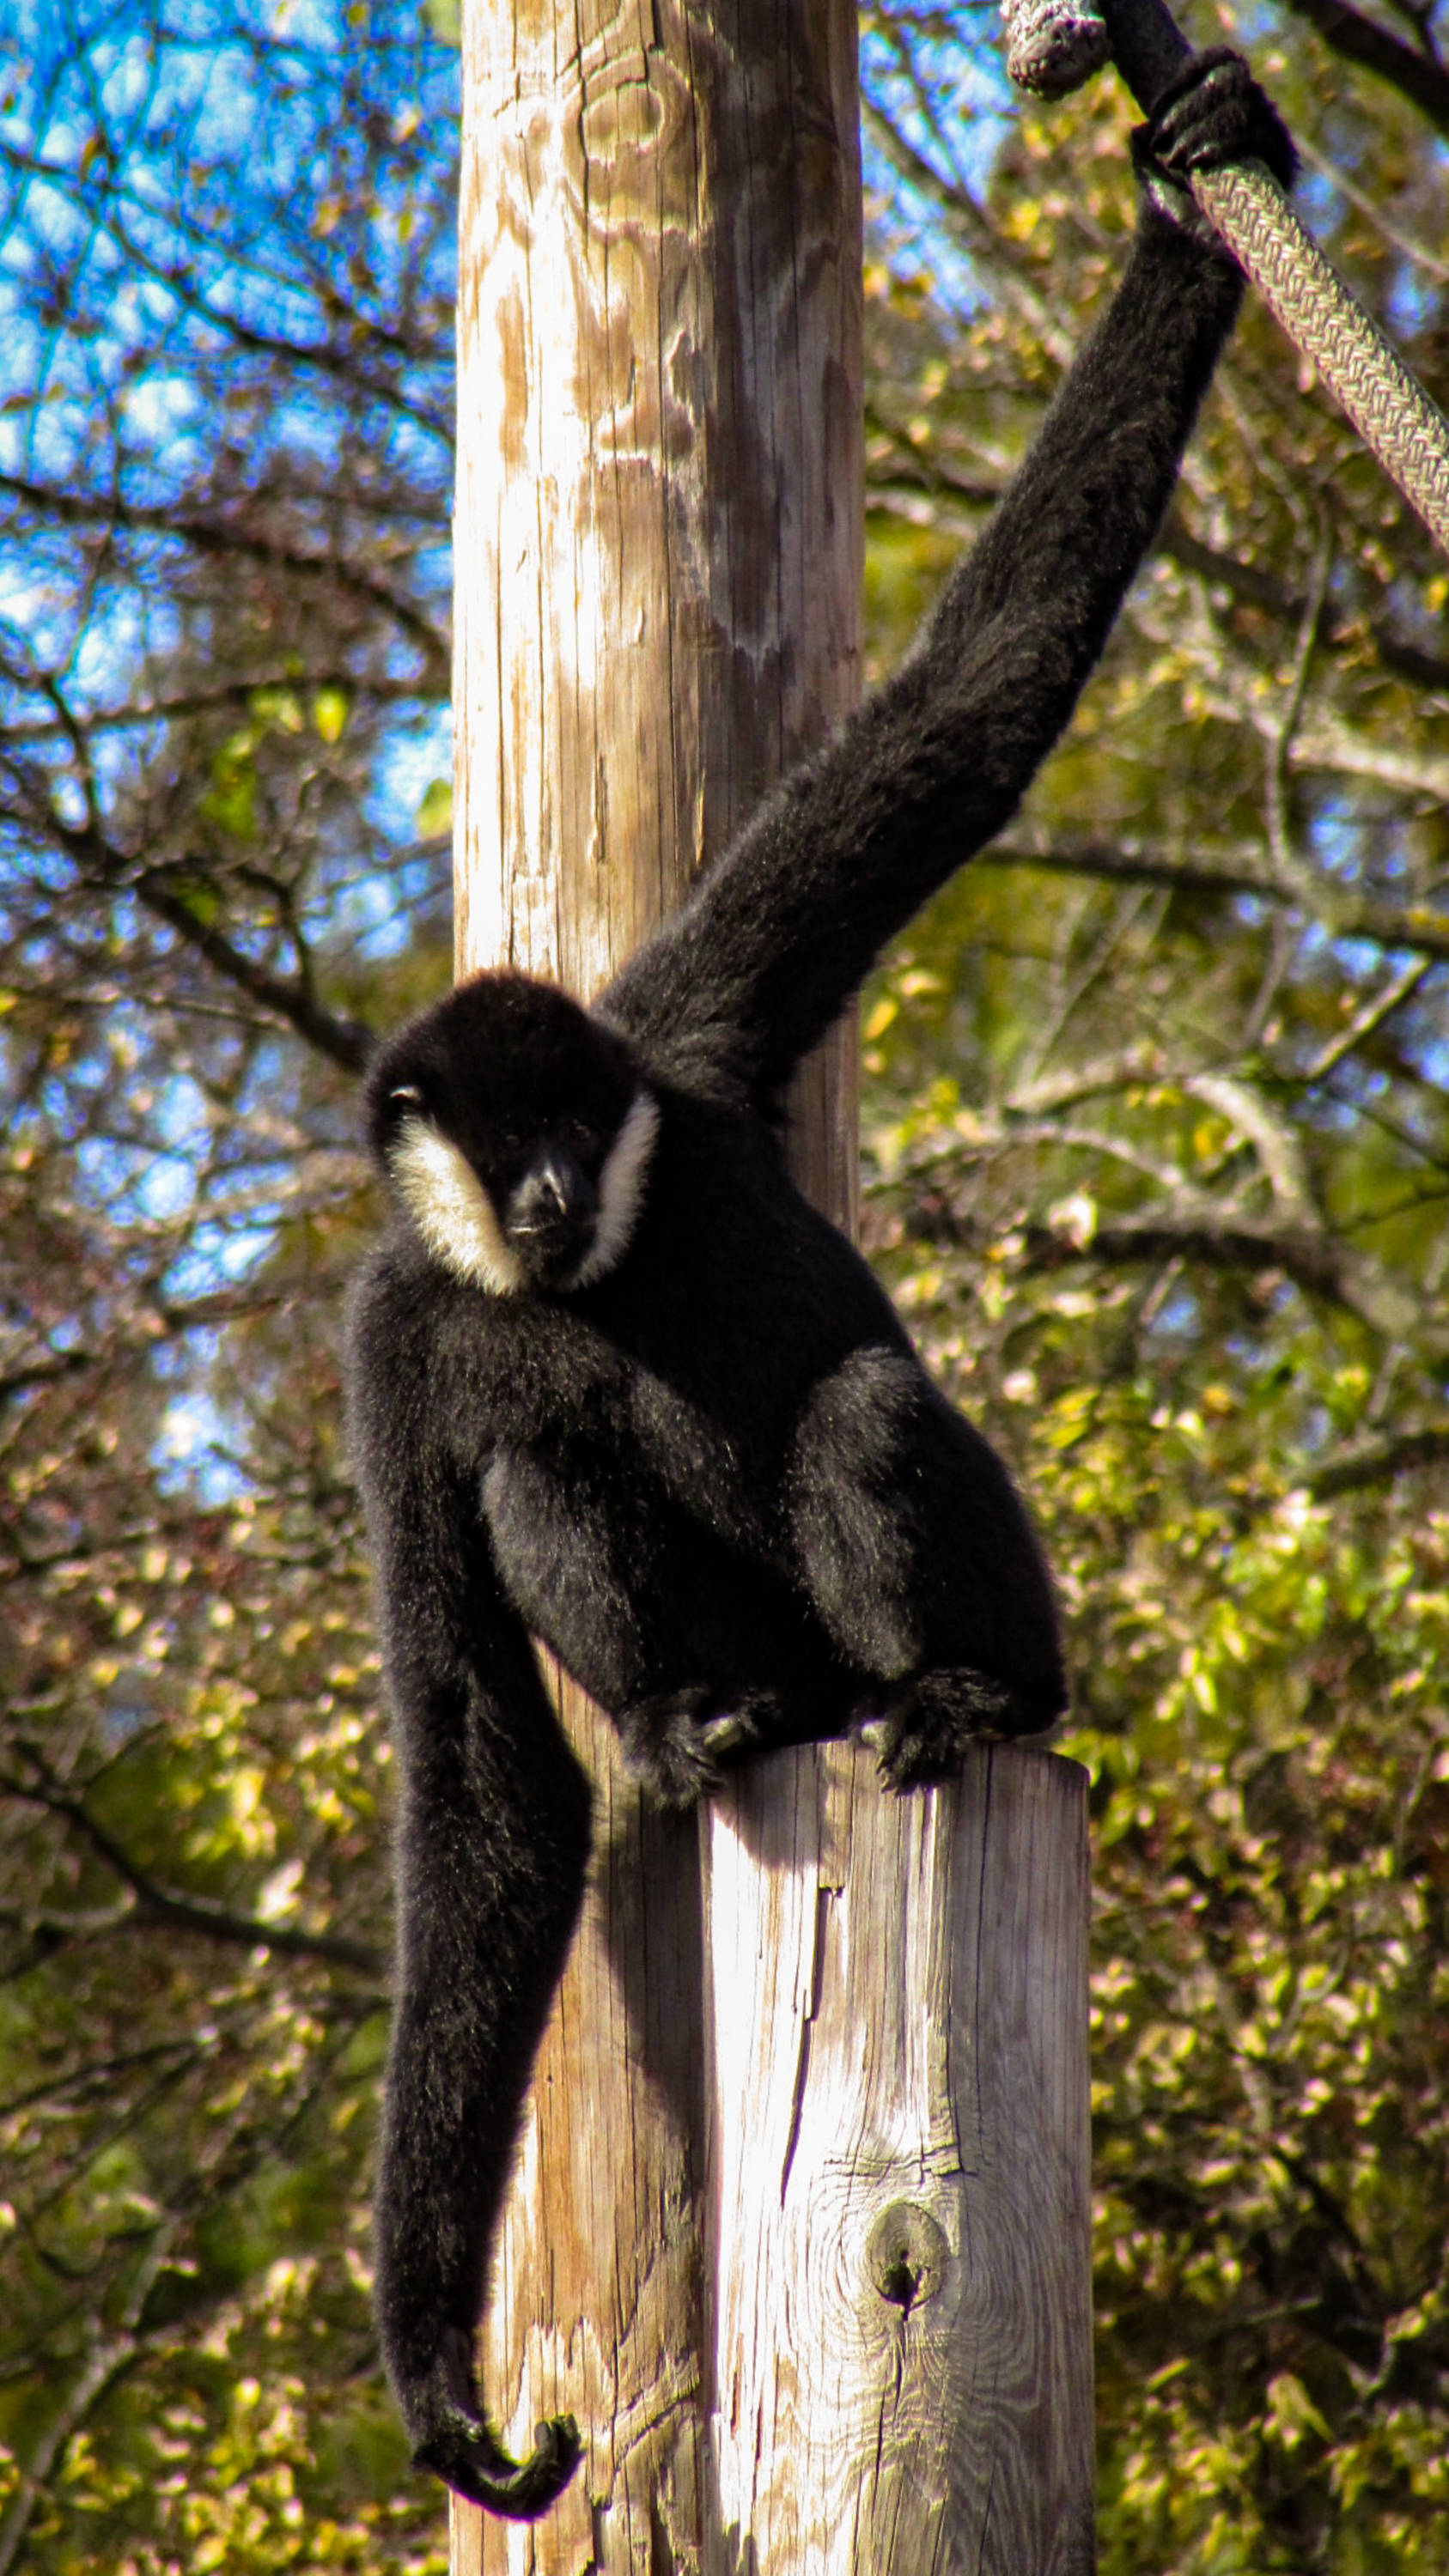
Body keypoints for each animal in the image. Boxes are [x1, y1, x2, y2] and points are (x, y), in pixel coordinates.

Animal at [345, 53, 1295, 2520]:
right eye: (496, 1145)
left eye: (571, 1123)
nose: (551, 1182)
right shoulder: (387, 1337)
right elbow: (479, 1768)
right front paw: (428, 2365)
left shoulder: (681, 1032)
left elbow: (960, 723)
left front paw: (1190, 198)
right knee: (539, 1472)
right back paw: (715, 1722)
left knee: (863, 1412)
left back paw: (961, 1694)